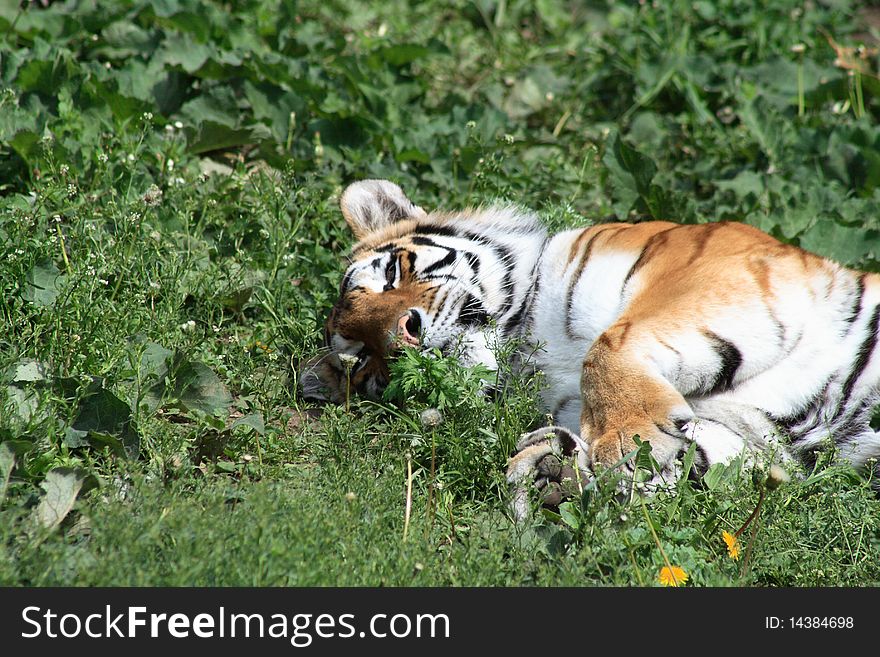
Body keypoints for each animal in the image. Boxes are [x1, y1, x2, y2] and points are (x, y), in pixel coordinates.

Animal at [302, 178, 880, 516]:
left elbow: (607, 345)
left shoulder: (707, 265)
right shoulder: (757, 440)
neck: (523, 348)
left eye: (392, 274)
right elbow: (696, 457)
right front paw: (547, 468)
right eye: (364, 360)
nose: (405, 338)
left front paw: (621, 442)